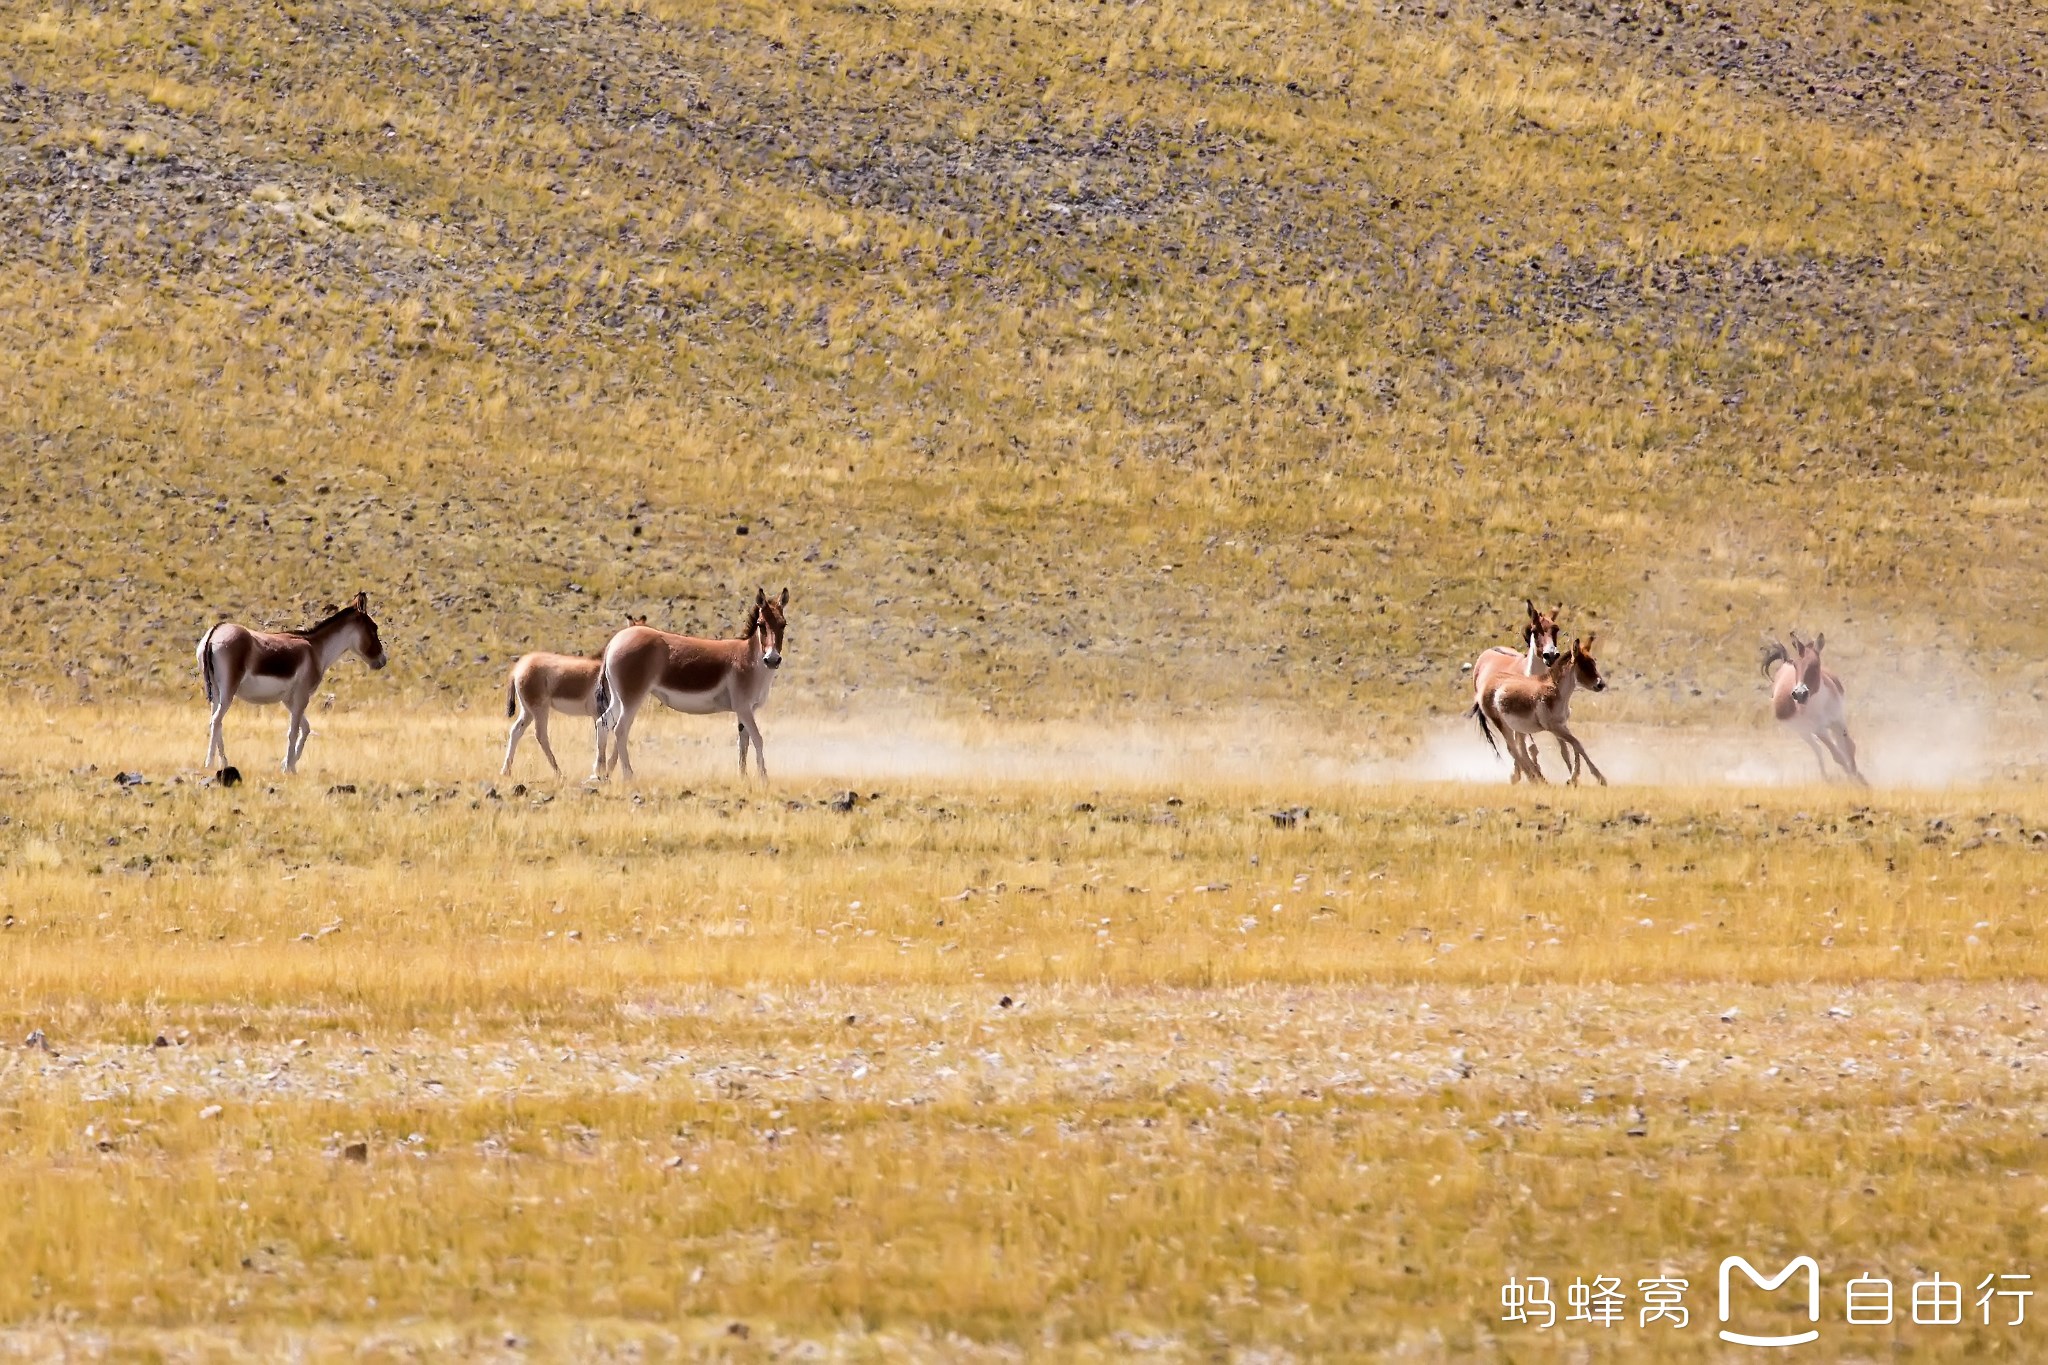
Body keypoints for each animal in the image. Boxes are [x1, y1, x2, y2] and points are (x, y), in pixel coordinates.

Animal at [195, 593, 387, 773]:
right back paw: (210, 763)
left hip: (217, 692)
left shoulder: (289, 700)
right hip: (228, 690)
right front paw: (288, 767)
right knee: (216, 720)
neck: (316, 649)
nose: (382, 660)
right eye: (373, 628)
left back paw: (224, 762)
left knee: (216, 721)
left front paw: (290, 765)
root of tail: (216, 631)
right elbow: (293, 731)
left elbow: (306, 728)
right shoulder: (302, 696)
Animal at [598, 593, 786, 785]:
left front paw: (743, 777)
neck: (750, 659)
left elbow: (743, 742)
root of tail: (615, 642)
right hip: (632, 698)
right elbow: (757, 739)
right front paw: (764, 779)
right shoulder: (743, 708)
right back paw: (628, 775)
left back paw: (601, 773)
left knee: (602, 722)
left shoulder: (747, 710)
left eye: (783, 624)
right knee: (620, 729)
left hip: (618, 697)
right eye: (760, 624)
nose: (772, 660)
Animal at [1761, 634, 1859, 785]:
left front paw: (1862, 781)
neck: (1820, 704)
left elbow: (1849, 749)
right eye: (1796, 665)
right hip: (1804, 732)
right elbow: (1838, 756)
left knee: (1837, 746)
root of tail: (1784, 663)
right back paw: (1826, 778)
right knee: (1818, 750)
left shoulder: (1838, 720)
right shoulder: (1819, 730)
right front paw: (1855, 782)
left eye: (1816, 664)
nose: (1800, 694)